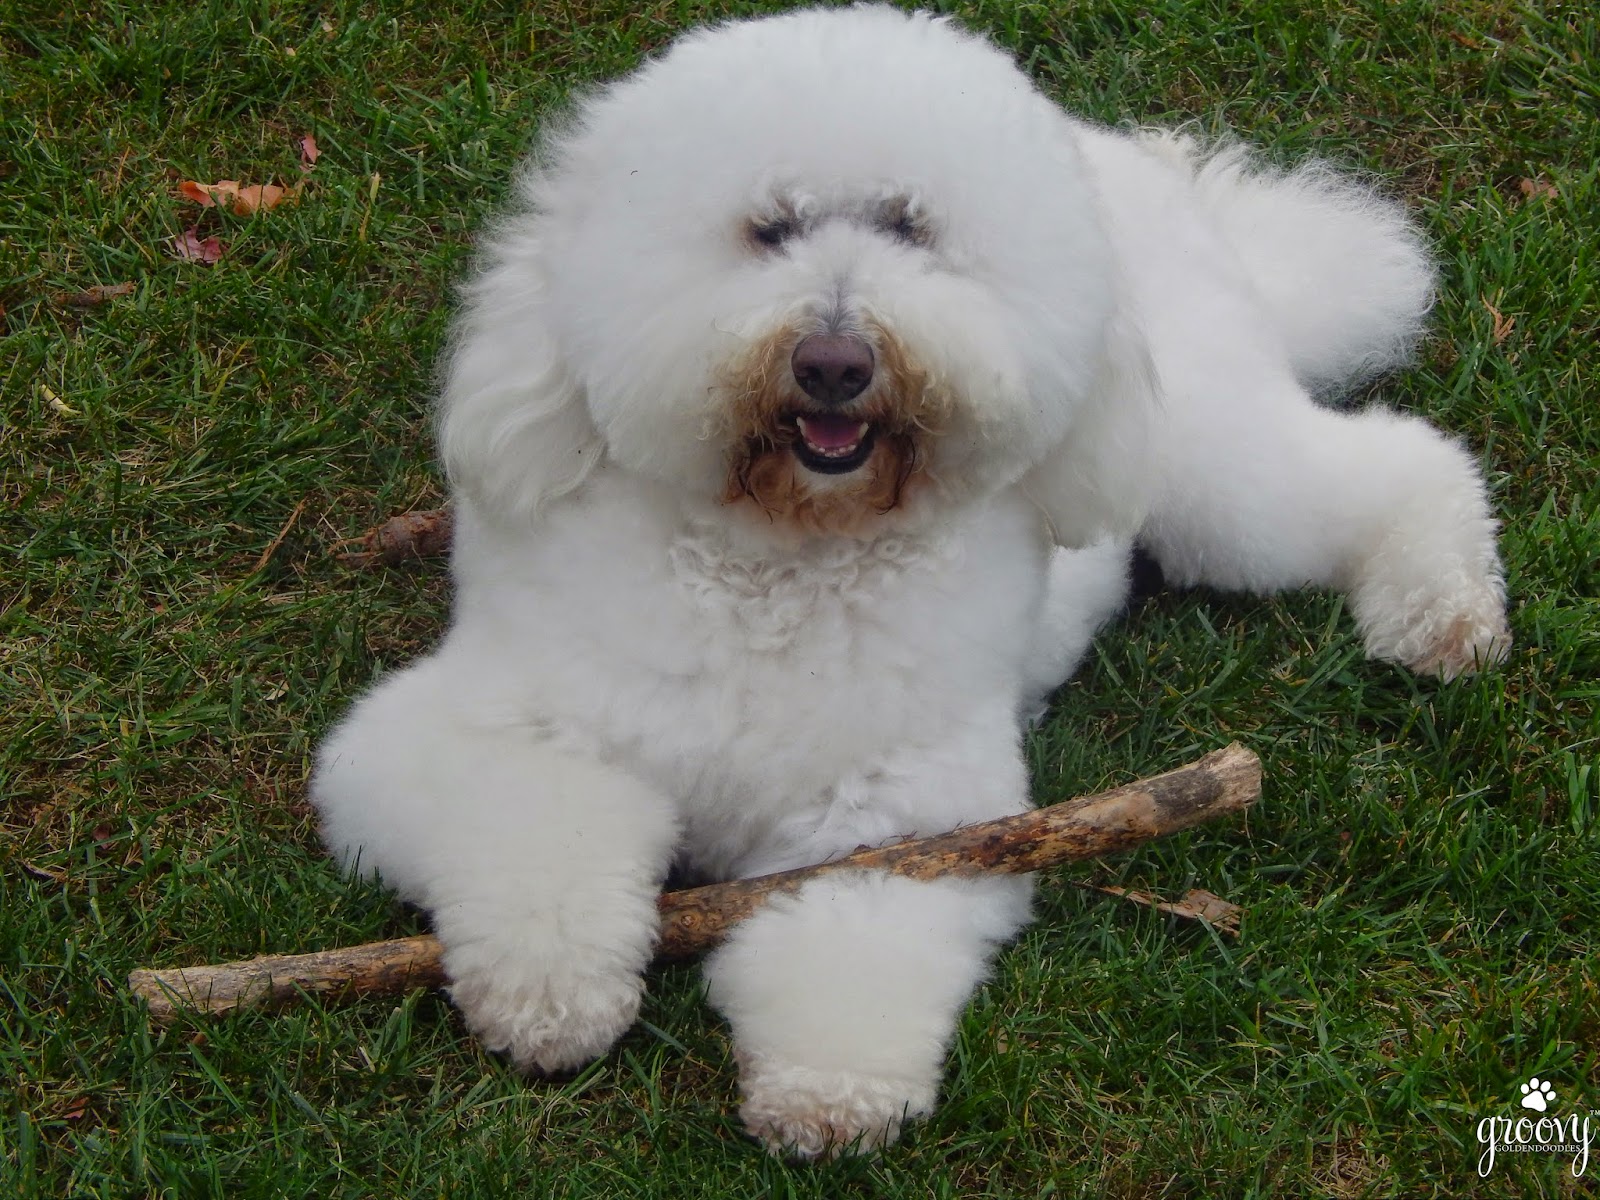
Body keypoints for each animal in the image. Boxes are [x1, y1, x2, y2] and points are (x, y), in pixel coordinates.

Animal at [312, 5, 1509, 1158]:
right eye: (770, 228)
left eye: (909, 227)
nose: (836, 362)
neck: (776, 559)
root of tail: (1165, 185)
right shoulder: (453, 733)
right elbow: (539, 827)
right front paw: (550, 994)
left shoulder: (910, 823)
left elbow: (851, 945)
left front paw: (829, 1091)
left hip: (1208, 475)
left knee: (1401, 460)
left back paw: (1443, 612)